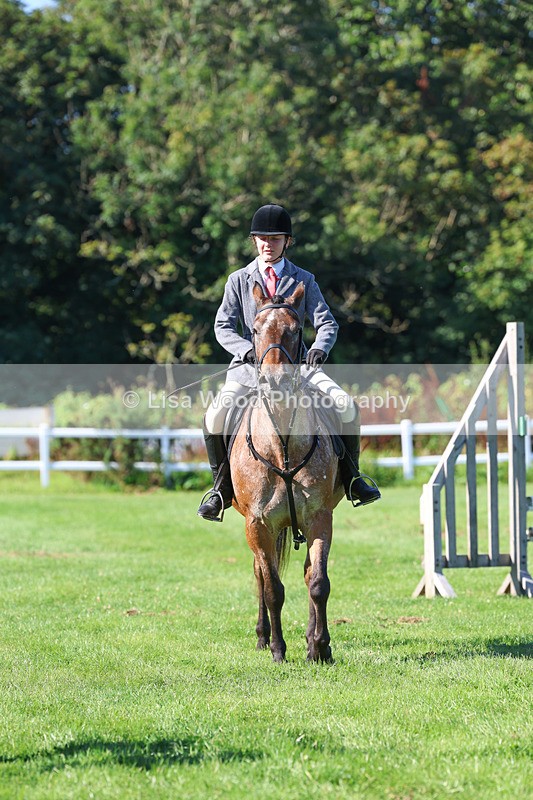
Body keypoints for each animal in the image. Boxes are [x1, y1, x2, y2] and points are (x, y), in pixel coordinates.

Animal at [230, 281, 345, 662]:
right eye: (253, 330)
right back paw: (263, 637)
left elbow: (318, 583)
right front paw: (278, 650)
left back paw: (310, 640)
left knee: (309, 573)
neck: (280, 446)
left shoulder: (319, 517)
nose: (276, 381)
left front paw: (320, 648)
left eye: (295, 330)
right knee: (261, 576)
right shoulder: (258, 524)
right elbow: (272, 589)